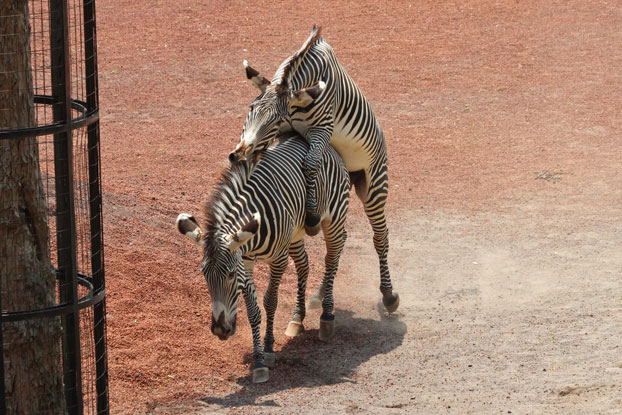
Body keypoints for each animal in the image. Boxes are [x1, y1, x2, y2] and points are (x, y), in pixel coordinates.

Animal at [176, 133, 352, 384]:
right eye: (204, 275)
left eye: (229, 275)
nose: (220, 330)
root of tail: (327, 147)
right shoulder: (245, 262)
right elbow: (253, 311)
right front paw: (258, 360)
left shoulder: (277, 259)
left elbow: (270, 301)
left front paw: (268, 348)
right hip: (295, 233)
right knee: (304, 264)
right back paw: (297, 319)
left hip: (333, 218)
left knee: (332, 256)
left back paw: (327, 315)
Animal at [229, 26, 400, 314]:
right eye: (250, 109)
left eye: (275, 119)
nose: (237, 155)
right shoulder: (287, 133)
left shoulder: (322, 130)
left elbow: (309, 163)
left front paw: (310, 217)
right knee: (339, 240)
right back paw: (320, 295)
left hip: (374, 184)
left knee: (380, 235)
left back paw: (388, 294)